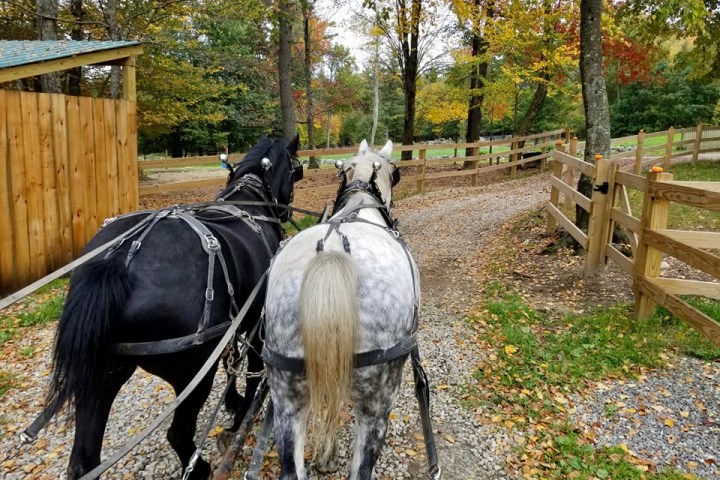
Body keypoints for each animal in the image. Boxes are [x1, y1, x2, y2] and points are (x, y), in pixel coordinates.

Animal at [46, 134, 301, 479]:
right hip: (191, 372)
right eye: (295, 169)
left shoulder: (232, 324)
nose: (285, 211)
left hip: (106, 372)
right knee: (178, 433)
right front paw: (244, 410)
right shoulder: (255, 321)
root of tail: (120, 260)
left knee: (83, 459)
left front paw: (232, 401)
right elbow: (250, 366)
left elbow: (230, 359)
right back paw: (199, 467)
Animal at [262, 139, 420, 479]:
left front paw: (326, 458)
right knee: (362, 467)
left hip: (285, 395)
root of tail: (332, 250)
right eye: (396, 174)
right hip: (378, 401)